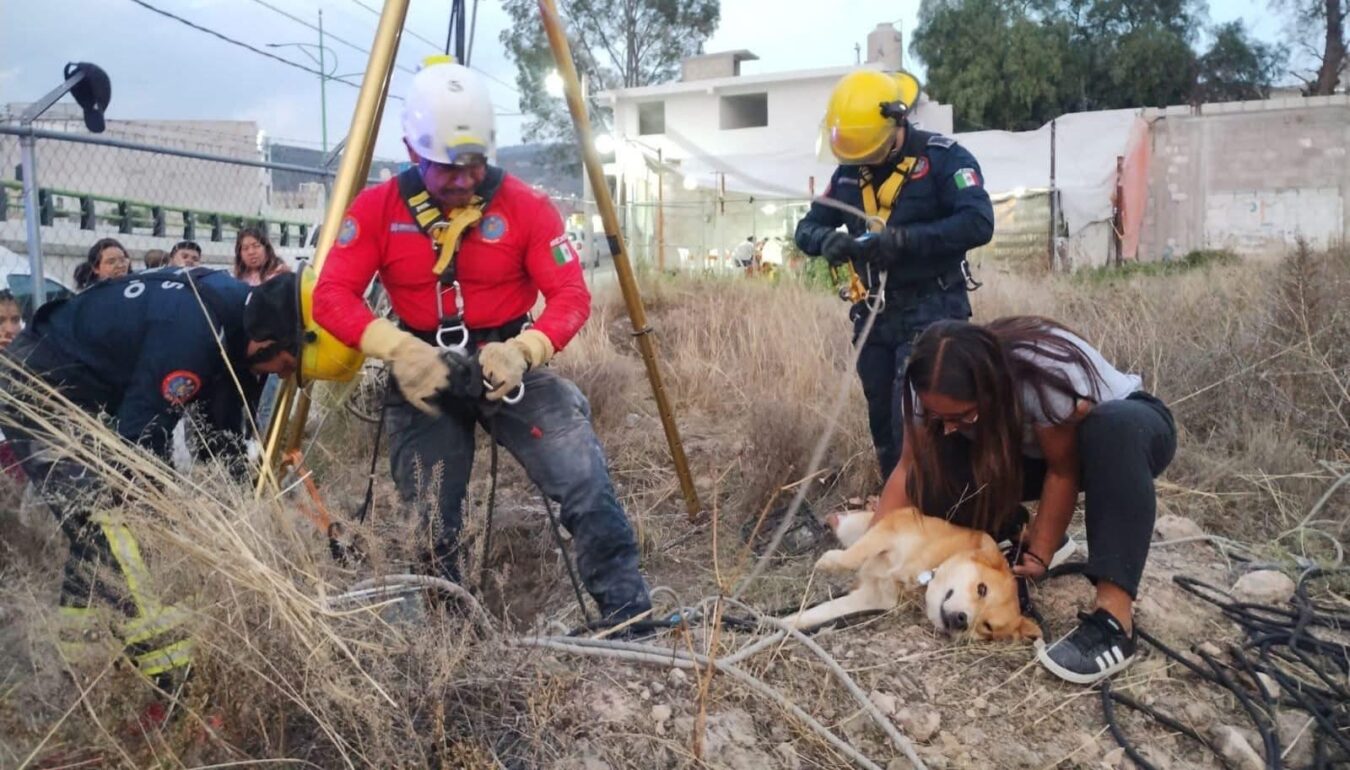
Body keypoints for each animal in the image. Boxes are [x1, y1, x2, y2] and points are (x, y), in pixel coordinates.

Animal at [783, 505, 1042, 637]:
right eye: (982, 589)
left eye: (987, 627)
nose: (961, 621)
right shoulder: (891, 529)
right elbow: (855, 555)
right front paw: (830, 562)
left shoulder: (873, 599)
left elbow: (822, 611)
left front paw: (784, 624)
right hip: (854, 526)